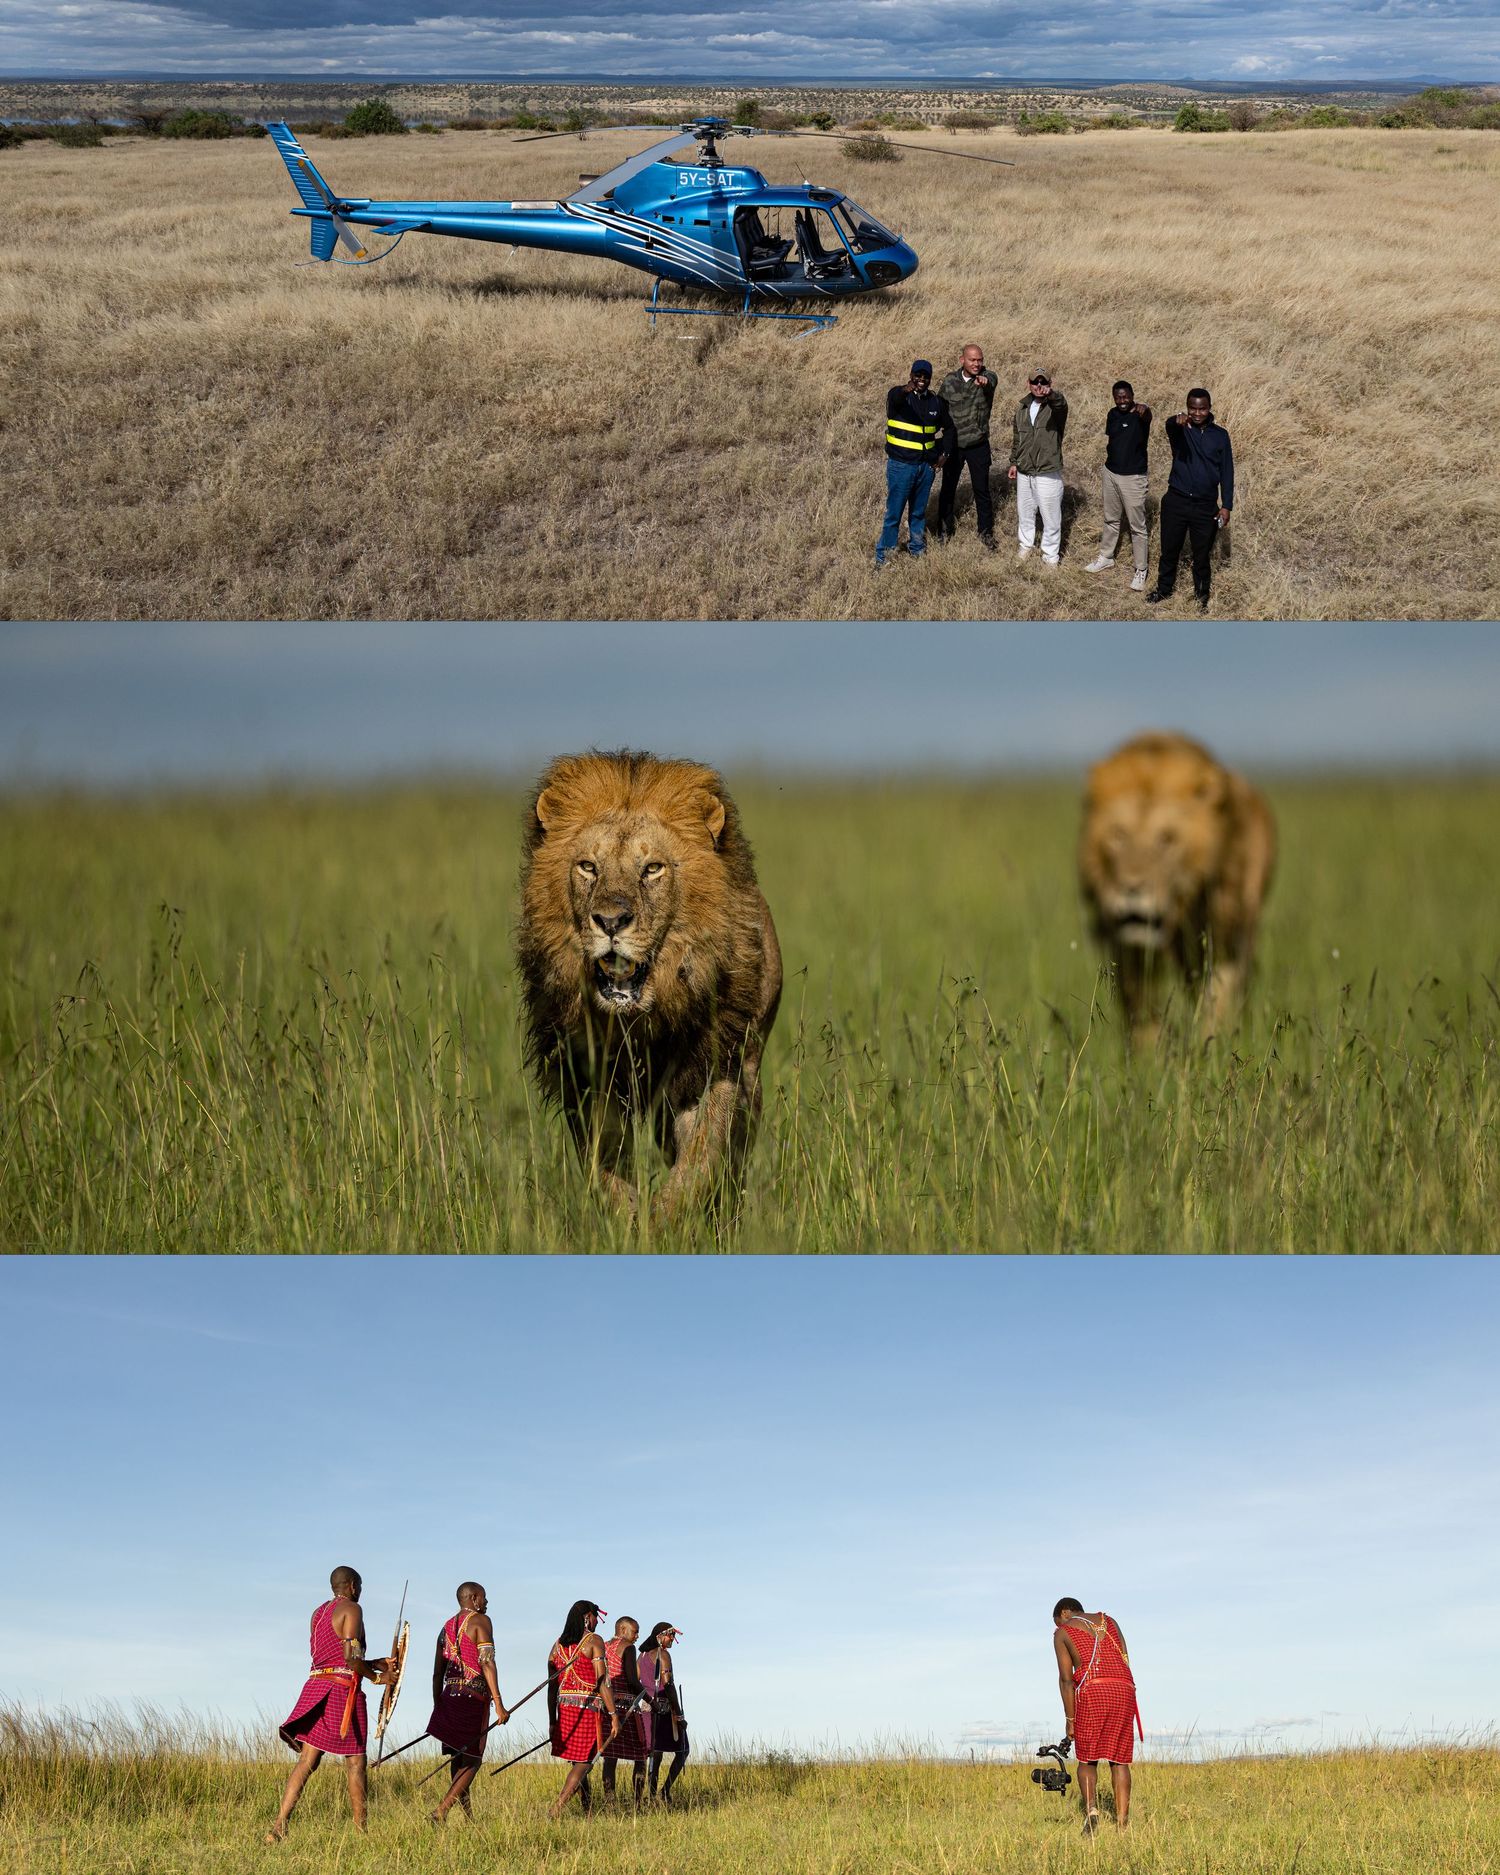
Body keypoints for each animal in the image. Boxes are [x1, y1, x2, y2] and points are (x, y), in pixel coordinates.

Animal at [516, 750, 782, 1223]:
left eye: (652, 868)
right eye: (588, 867)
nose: (610, 921)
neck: (639, 1020)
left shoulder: (715, 1068)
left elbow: (701, 1158)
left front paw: (668, 1218)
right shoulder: (585, 1078)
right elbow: (603, 1165)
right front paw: (628, 1220)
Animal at [1079, 732, 1276, 1045]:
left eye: (1167, 838)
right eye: (1119, 835)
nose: (1132, 888)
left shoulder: (1222, 940)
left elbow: (1218, 1002)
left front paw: (1212, 1046)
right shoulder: (1129, 952)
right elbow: (1142, 1013)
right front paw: (1150, 1055)